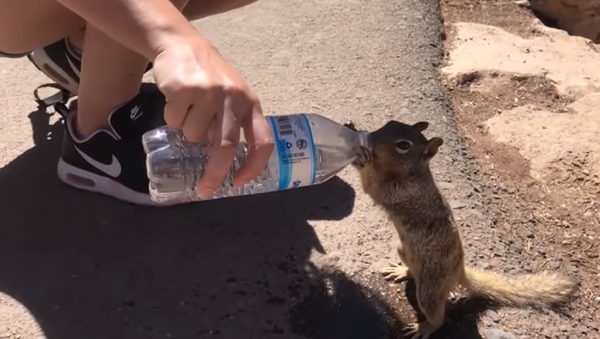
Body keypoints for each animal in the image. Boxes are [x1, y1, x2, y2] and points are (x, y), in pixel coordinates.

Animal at [344, 121, 580, 338]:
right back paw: (403, 271)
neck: (413, 173)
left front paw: (360, 157)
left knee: (437, 315)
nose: (370, 138)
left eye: (403, 145)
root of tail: (458, 270)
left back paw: (424, 327)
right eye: (389, 123)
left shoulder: (402, 193)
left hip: (430, 288)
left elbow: (372, 186)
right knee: (413, 271)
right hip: (404, 250)